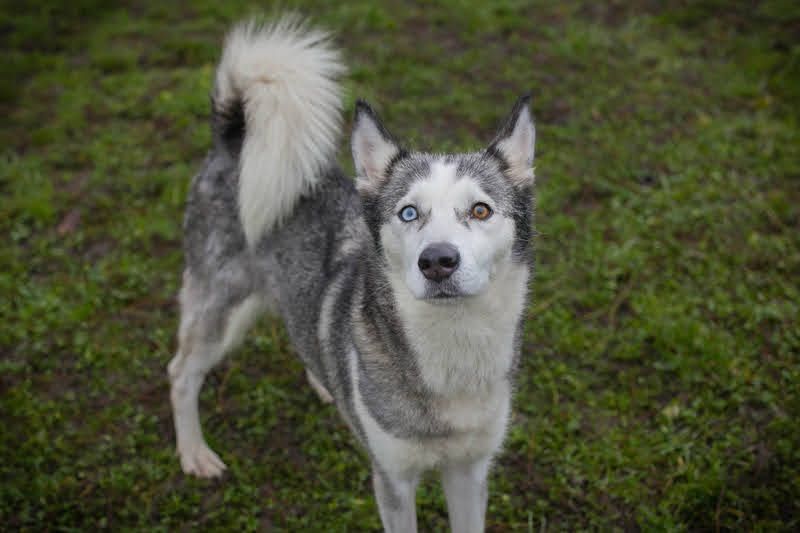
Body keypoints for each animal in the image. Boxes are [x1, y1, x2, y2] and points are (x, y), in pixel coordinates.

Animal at [167, 15, 535, 532]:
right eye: (408, 213)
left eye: (480, 210)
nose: (437, 261)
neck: (454, 348)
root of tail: (232, 139)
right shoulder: (393, 480)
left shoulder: (469, 470)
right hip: (221, 312)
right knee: (180, 373)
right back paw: (194, 452)